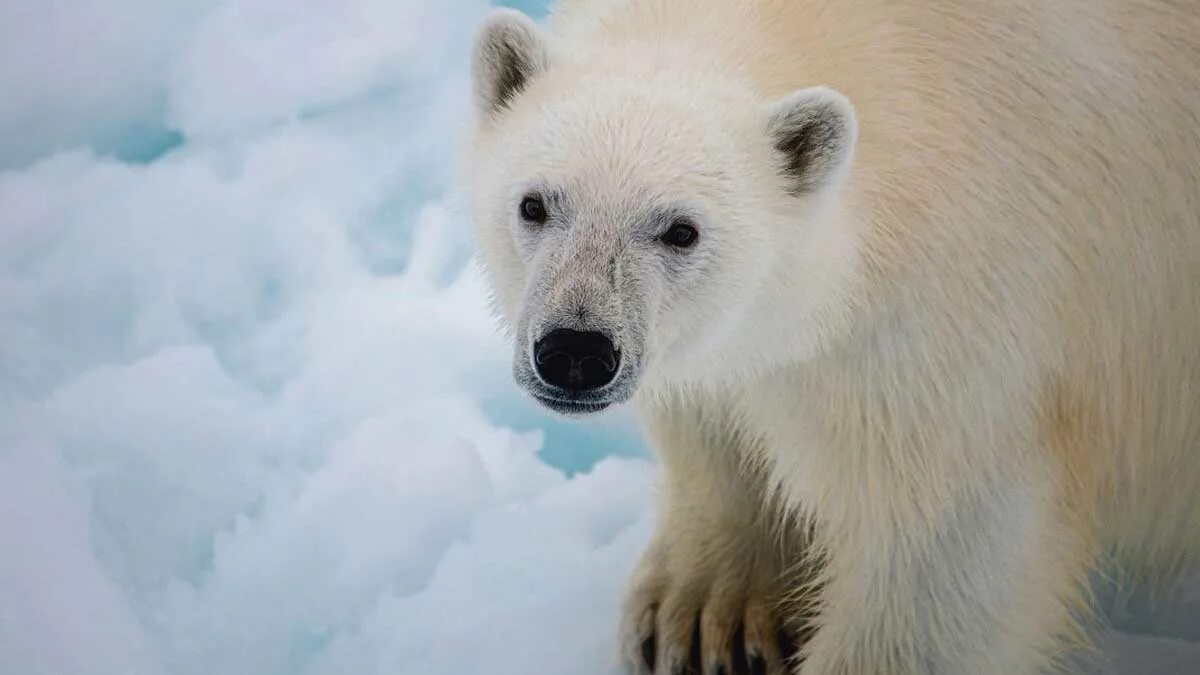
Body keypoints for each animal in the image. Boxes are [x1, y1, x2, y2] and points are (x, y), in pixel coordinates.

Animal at [463, 2, 1200, 667]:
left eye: (681, 229)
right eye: (535, 203)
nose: (575, 352)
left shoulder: (968, 317)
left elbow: (943, 547)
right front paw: (703, 617)